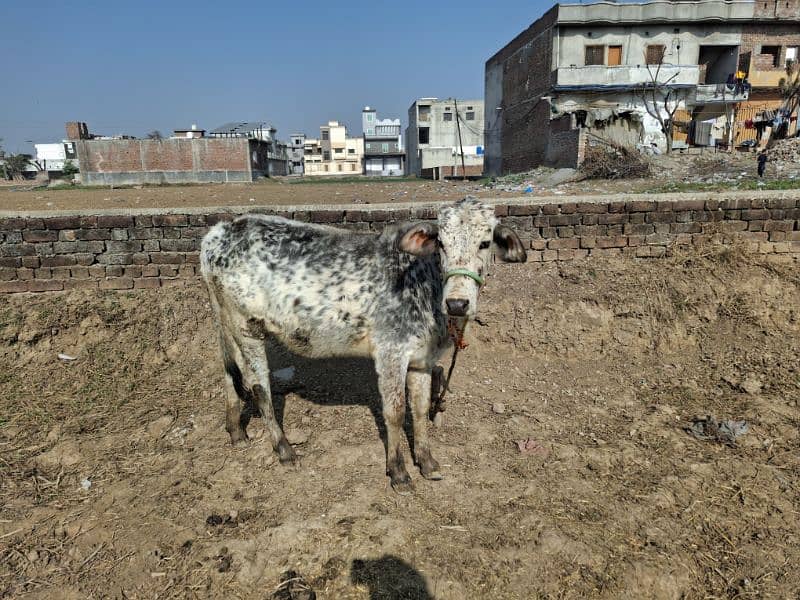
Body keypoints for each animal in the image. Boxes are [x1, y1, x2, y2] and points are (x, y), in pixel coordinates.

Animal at [198, 197, 524, 492]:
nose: (457, 303)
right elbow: (395, 412)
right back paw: (284, 450)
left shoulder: (422, 360)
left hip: (226, 323)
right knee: (258, 386)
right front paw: (399, 472)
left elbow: (419, 410)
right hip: (247, 325)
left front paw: (427, 462)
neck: (423, 282)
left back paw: (236, 431)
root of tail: (220, 232)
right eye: (441, 244)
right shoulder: (390, 352)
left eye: (485, 243)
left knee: (228, 372)